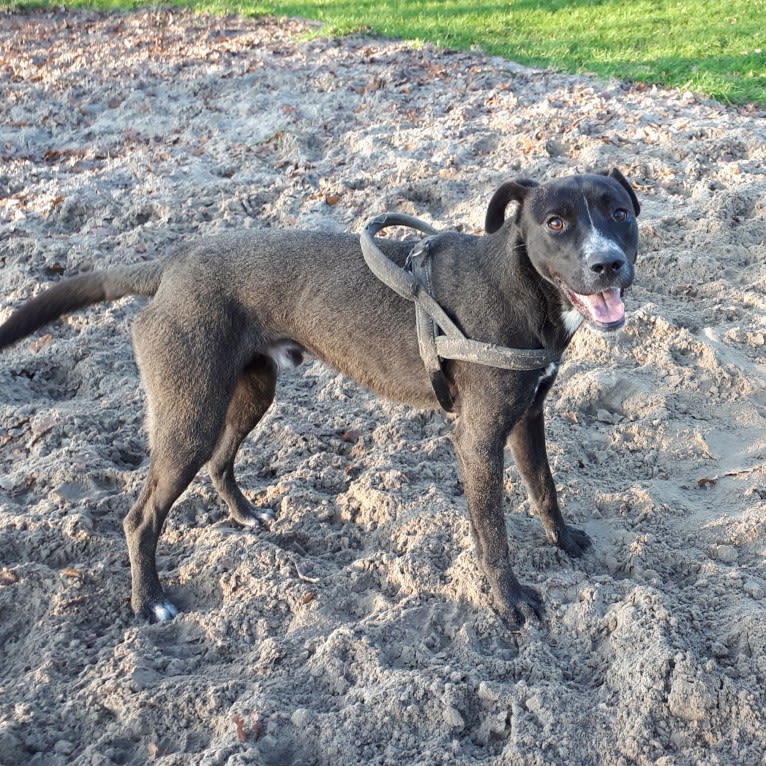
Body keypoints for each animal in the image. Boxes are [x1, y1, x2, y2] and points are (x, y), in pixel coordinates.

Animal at [0, 171, 640, 628]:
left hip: (251, 392)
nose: (607, 264)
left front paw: (565, 542)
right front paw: (509, 602)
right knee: (141, 517)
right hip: (189, 416)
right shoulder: (478, 439)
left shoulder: (528, 416)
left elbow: (545, 489)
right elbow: (493, 533)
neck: (520, 283)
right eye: (555, 222)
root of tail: (171, 264)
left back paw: (246, 515)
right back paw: (148, 603)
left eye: (620, 212)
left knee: (220, 461)